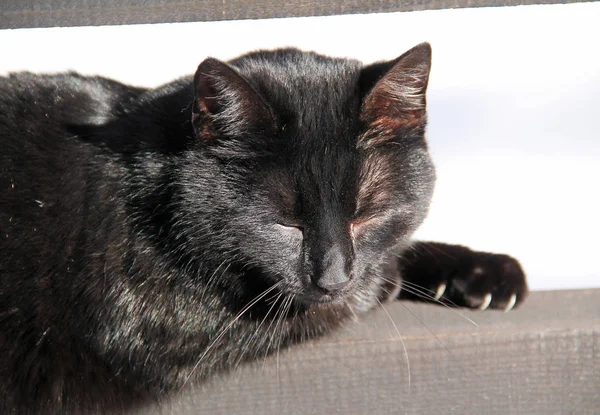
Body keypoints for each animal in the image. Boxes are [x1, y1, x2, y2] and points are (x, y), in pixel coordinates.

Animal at [0, 44, 524, 414]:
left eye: (366, 216)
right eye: (285, 223)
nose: (333, 277)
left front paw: (485, 272)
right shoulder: (150, 327)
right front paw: (392, 280)